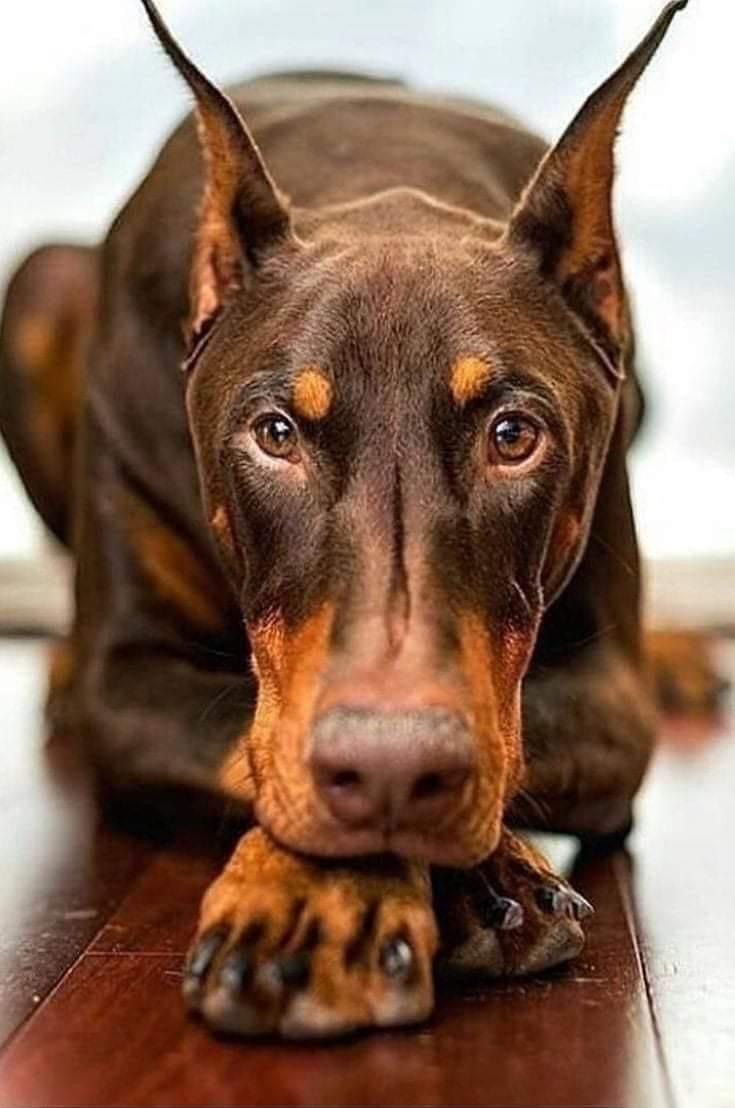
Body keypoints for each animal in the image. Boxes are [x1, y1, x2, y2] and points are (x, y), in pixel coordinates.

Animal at [0, 0, 709, 1037]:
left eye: (513, 436)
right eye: (275, 433)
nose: (391, 770)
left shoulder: (608, 699)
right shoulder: (121, 683)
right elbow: (245, 735)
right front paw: (318, 895)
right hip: (41, 282)